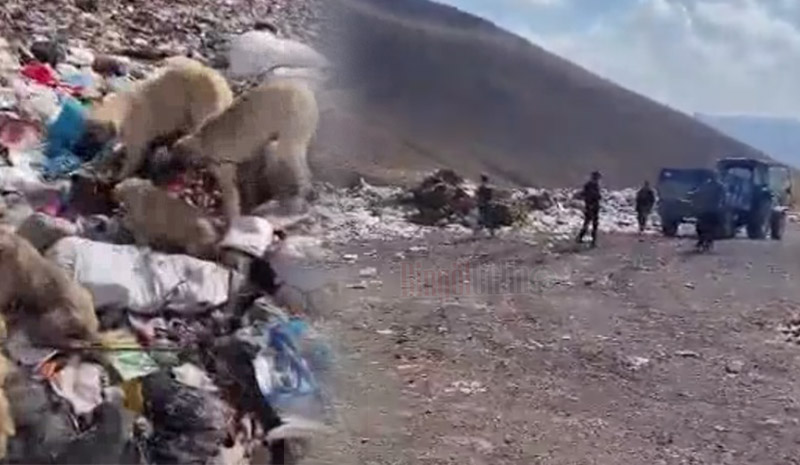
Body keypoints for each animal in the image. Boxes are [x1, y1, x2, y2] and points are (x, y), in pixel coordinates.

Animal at [84, 56, 234, 181]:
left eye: (92, 132)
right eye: (88, 128)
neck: (123, 104)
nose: (87, 144)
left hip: (204, 101)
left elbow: (135, 152)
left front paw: (118, 174)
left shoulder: (137, 122)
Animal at [171, 77, 318, 221]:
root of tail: (307, 95)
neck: (201, 141)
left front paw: (233, 218)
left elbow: (230, 193)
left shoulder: (223, 166)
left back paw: (301, 193)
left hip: (294, 124)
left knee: (291, 156)